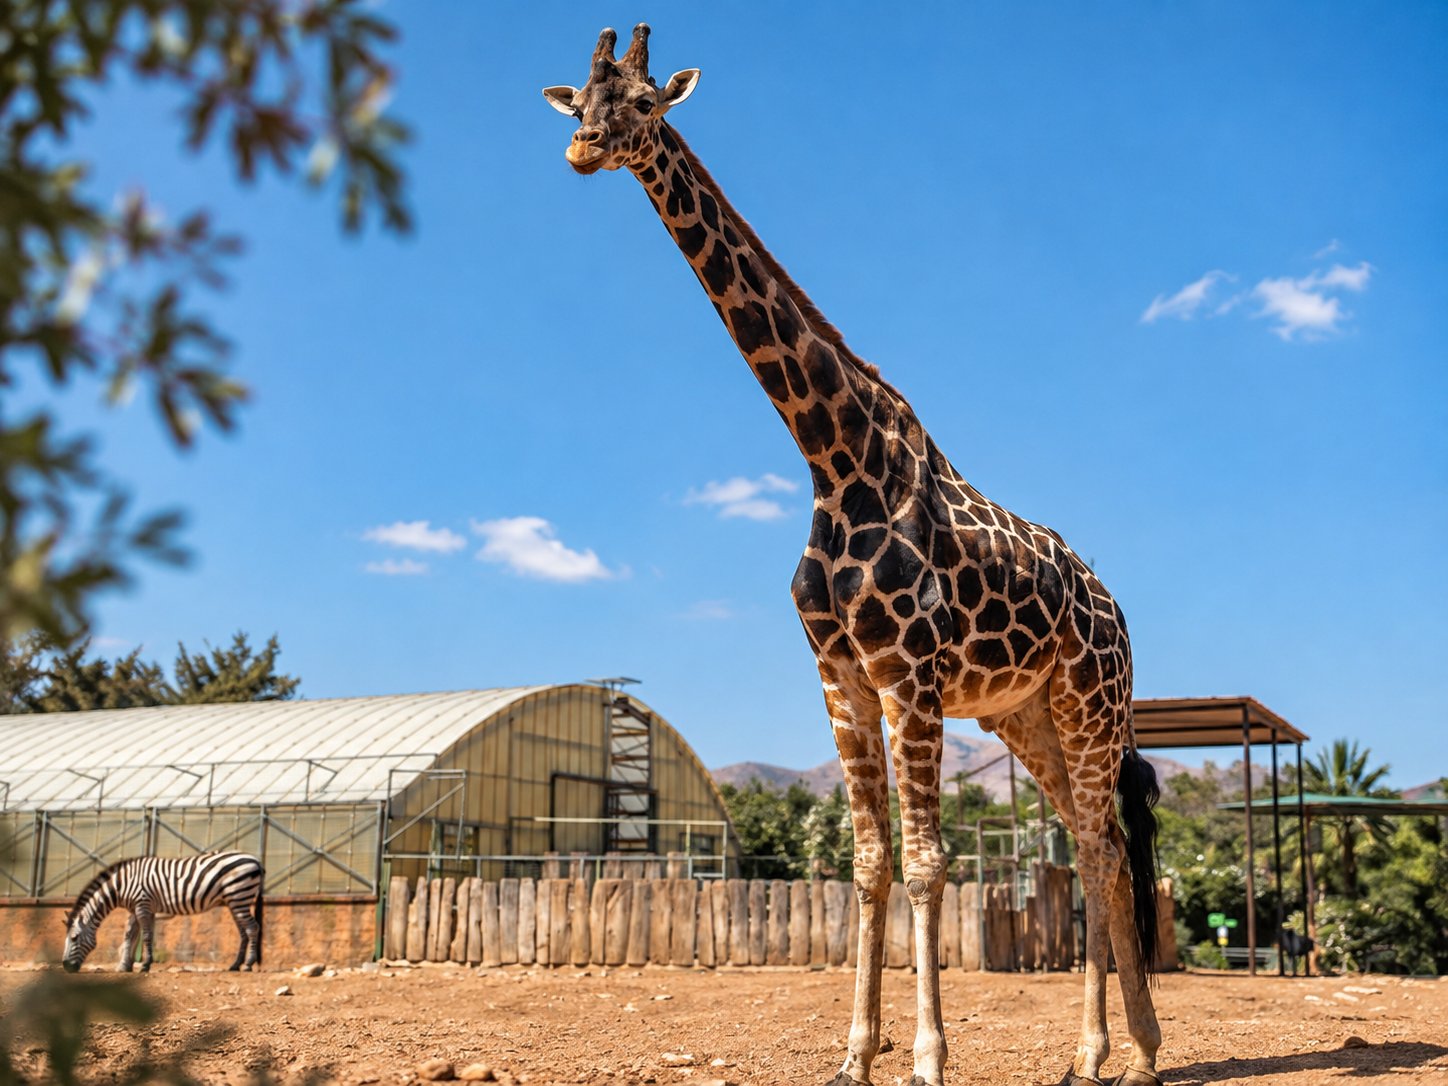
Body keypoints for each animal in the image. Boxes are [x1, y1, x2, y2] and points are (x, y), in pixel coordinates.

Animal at [62, 851, 264, 973]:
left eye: (74, 938)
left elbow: (146, 936)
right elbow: (131, 935)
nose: (65, 967)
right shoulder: (137, 908)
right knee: (243, 932)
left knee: (252, 928)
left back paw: (248, 964)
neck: (121, 885)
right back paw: (235, 965)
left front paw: (144, 965)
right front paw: (125, 965)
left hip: (239, 896)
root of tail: (255, 860)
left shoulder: (142, 904)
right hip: (234, 901)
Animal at [543, 26, 1164, 1086]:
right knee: (1094, 849)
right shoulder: (841, 678)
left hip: (1092, 703)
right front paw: (854, 1057)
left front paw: (928, 1058)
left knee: (1103, 847)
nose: (583, 149)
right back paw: (1100, 1054)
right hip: (1028, 717)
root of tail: (1118, 610)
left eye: (646, 104)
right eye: (582, 98)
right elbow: (871, 862)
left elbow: (927, 864)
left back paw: (1139, 1052)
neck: (832, 461)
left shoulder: (908, 674)